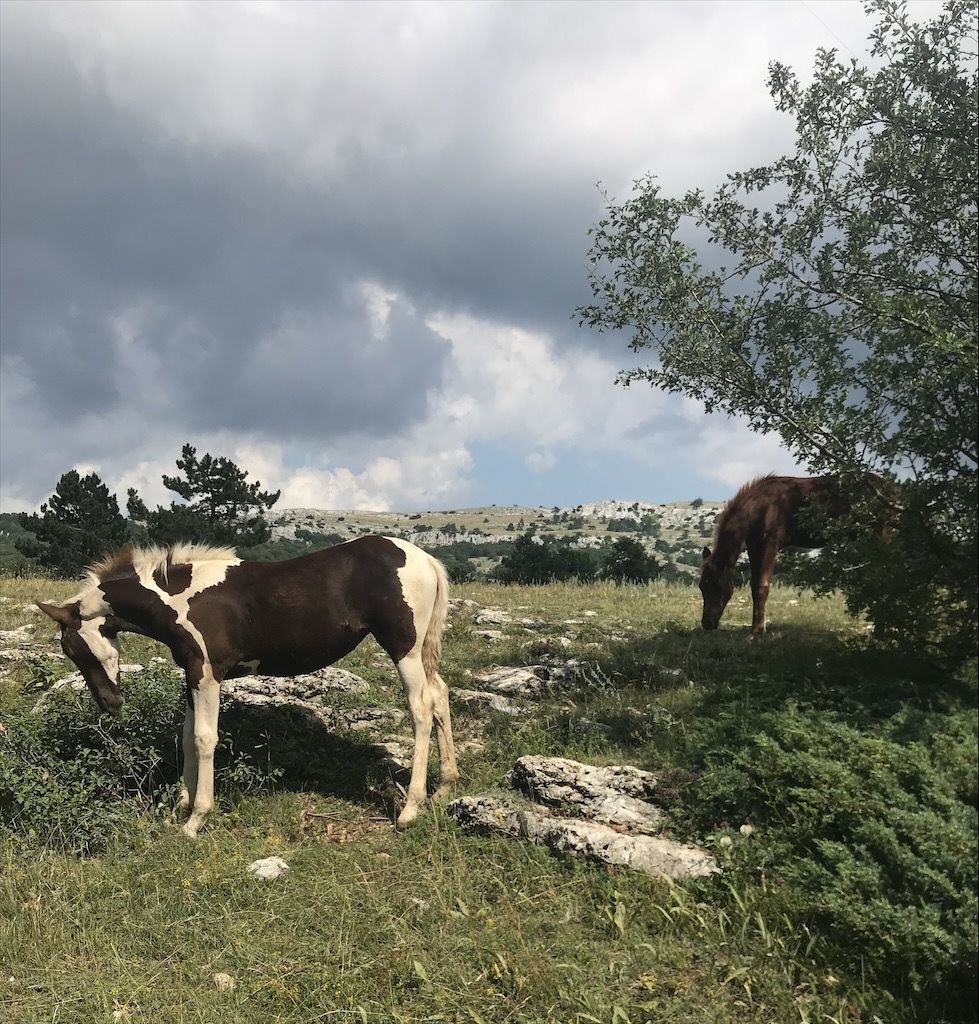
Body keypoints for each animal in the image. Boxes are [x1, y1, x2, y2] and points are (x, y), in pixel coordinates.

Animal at [34, 532, 454, 835]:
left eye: (73, 648)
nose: (110, 703)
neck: (178, 597)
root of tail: (426, 560)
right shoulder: (191, 672)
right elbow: (186, 736)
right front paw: (181, 804)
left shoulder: (208, 673)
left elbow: (204, 738)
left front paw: (196, 819)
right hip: (420, 652)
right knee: (440, 695)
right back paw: (445, 788)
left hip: (403, 648)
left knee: (421, 709)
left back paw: (410, 809)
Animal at [696, 475, 847, 634]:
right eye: (701, 585)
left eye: (718, 585)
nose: (707, 623)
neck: (758, 508)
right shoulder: (754, 545)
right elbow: (754, 586)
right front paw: (755, 626)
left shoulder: (769, 544)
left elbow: (762, 586)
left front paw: (758, 629)